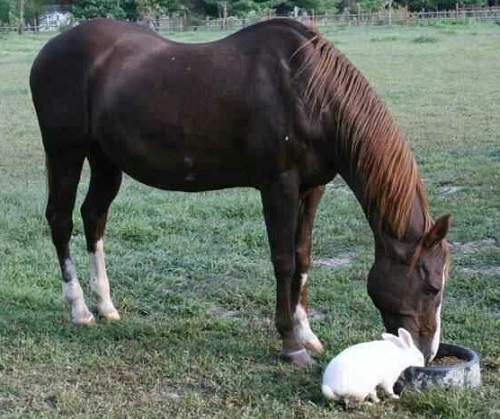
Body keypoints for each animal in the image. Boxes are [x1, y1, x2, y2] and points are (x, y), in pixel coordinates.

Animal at [30, 18, 450, 368]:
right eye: (432, 287)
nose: (426, 354)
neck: (310, 92)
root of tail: (50, 49)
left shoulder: (313, 188)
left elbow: (303, 257)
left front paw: (307, 334)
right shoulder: (278, 187)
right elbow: (283, 261)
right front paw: (290, 344)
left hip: (105, 160)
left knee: (93, 218)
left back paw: (106, 306)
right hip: (65, 151)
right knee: (61, 221)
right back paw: (80, 310)